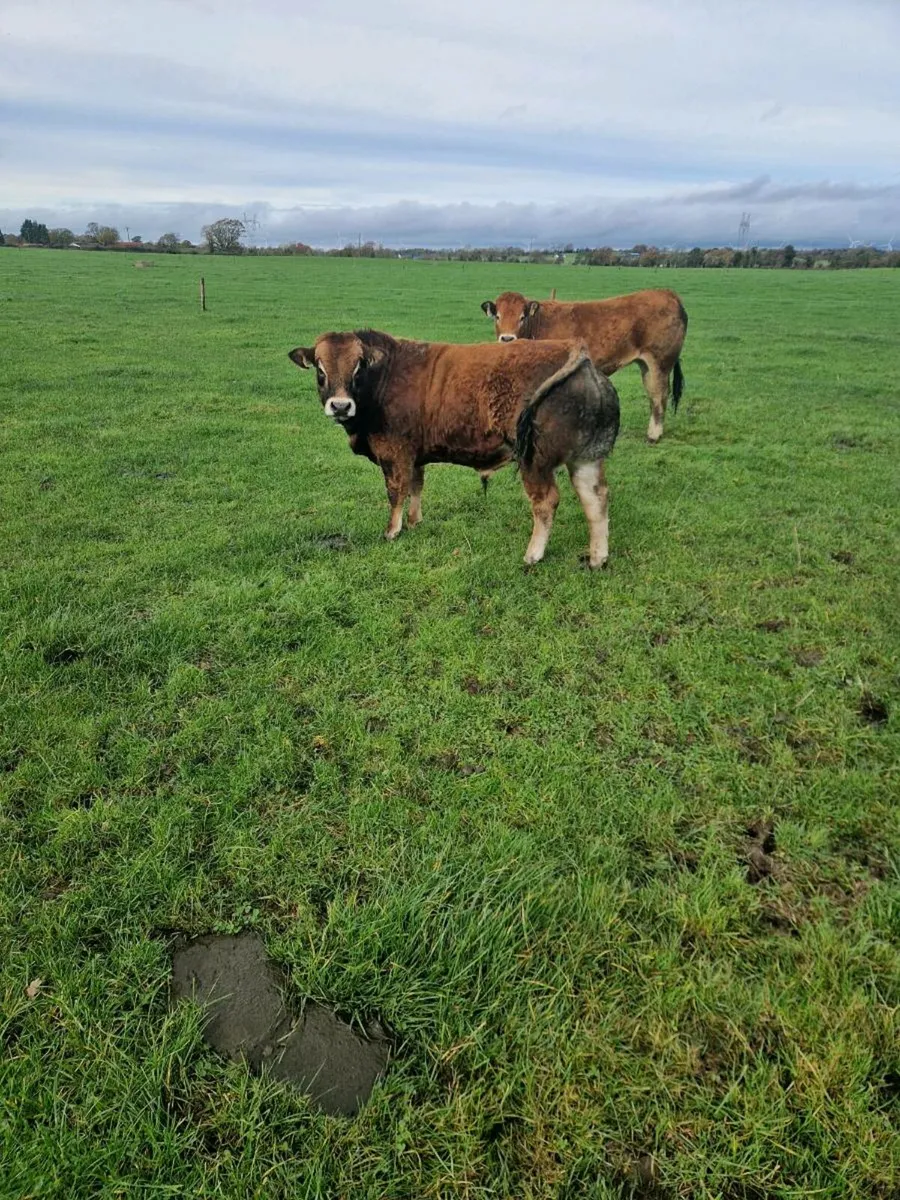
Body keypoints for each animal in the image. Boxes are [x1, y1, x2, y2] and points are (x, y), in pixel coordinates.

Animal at [288, 330, 620, 568]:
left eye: (358, 367)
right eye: (320, 370)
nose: (340, 406)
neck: (384, 377)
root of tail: (574, 350)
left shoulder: (394, 453)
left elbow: (396, 492)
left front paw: (392, 531)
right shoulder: (415, 456)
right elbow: (416, 487)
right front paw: (414, 522)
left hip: (534, 462)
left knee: (546, 502)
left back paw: (533, 555)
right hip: (586, 459)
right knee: (596, 499)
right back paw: (597, 558)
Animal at [480, 288, 687, 443]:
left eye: (522, 317)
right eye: (497, 316)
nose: (507, 339)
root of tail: (668, 294)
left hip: (660, 363)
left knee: (660, 395)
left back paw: (654, 435)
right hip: (647, 365)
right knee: (653, 396)